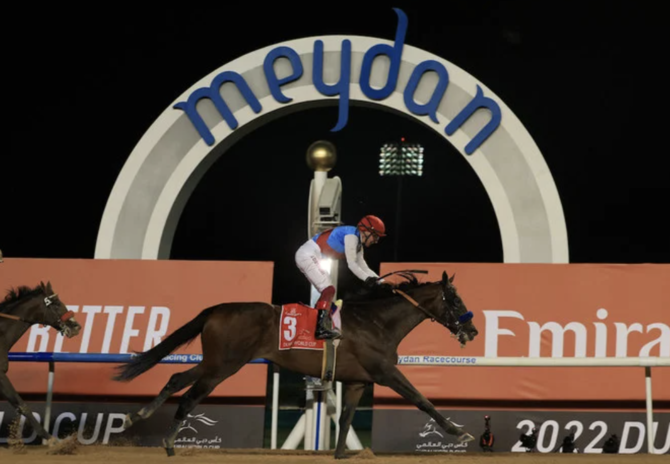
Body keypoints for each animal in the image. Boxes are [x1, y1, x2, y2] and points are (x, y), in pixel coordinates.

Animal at [113, 270, 479, 458]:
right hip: (224, 365)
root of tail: (216, 309)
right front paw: (459, 432)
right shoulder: (386, 372)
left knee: (177, 377)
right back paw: (169, 443)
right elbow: (422, 400)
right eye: (456, 299)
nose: (473, 330)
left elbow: (345, 420)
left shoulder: (358, 381)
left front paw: (340, 454)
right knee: (191, 395)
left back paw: (136, 416)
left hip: (215, 361)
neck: (378, 322)